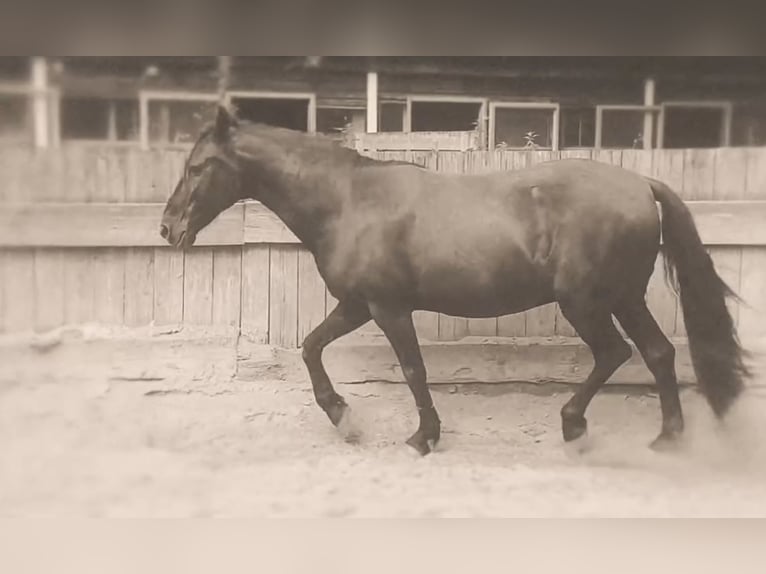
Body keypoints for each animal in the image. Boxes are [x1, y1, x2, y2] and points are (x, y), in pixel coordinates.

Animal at [158, 107, 752, 460]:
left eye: (198, 166)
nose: (168, 229)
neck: (347, 200)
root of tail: (641, 184)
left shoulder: (388, 308)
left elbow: (414, 370)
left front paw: (423, 436)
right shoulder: (357, 305)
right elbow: (310, 347)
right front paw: (344, 419)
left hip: (585, 303)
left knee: (615, 353)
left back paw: (574, 427)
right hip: (624, 298)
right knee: (657, 353)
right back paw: (668, 439)